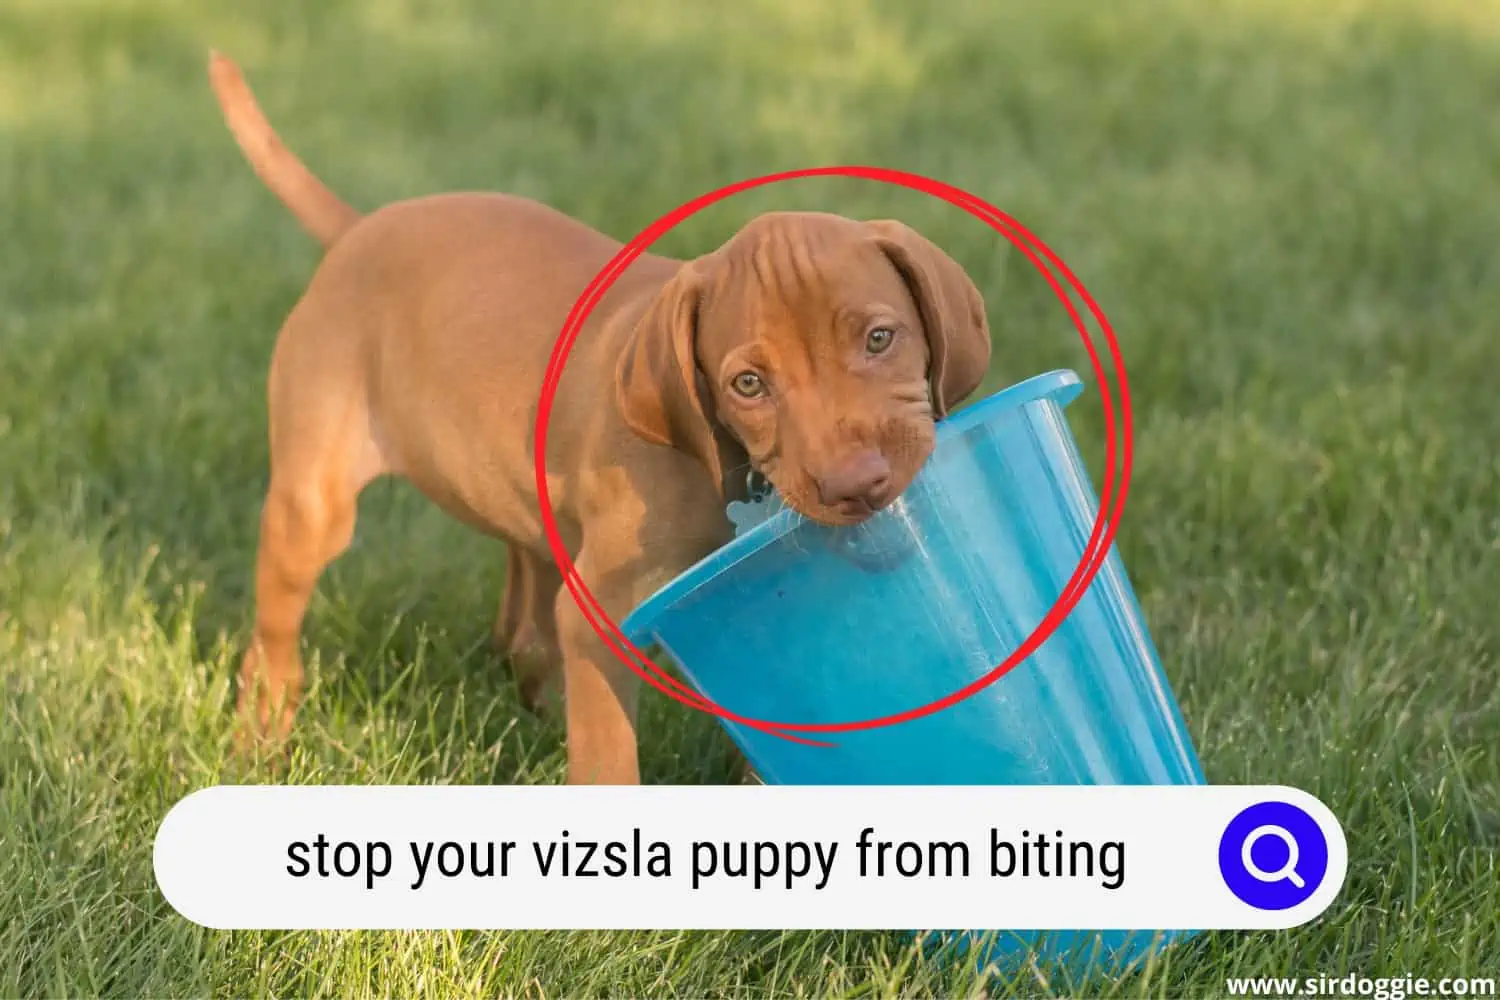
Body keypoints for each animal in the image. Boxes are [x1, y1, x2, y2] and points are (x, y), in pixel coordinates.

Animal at [205, 54, 990, 785]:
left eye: (880, 339)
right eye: (748, 385)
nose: (856, 486)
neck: (715, 461)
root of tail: (359, 230)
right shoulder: (599, 618)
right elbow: (610, 760)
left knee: (521, 616)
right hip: (313, 503)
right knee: (276, 635)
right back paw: (260, 737)